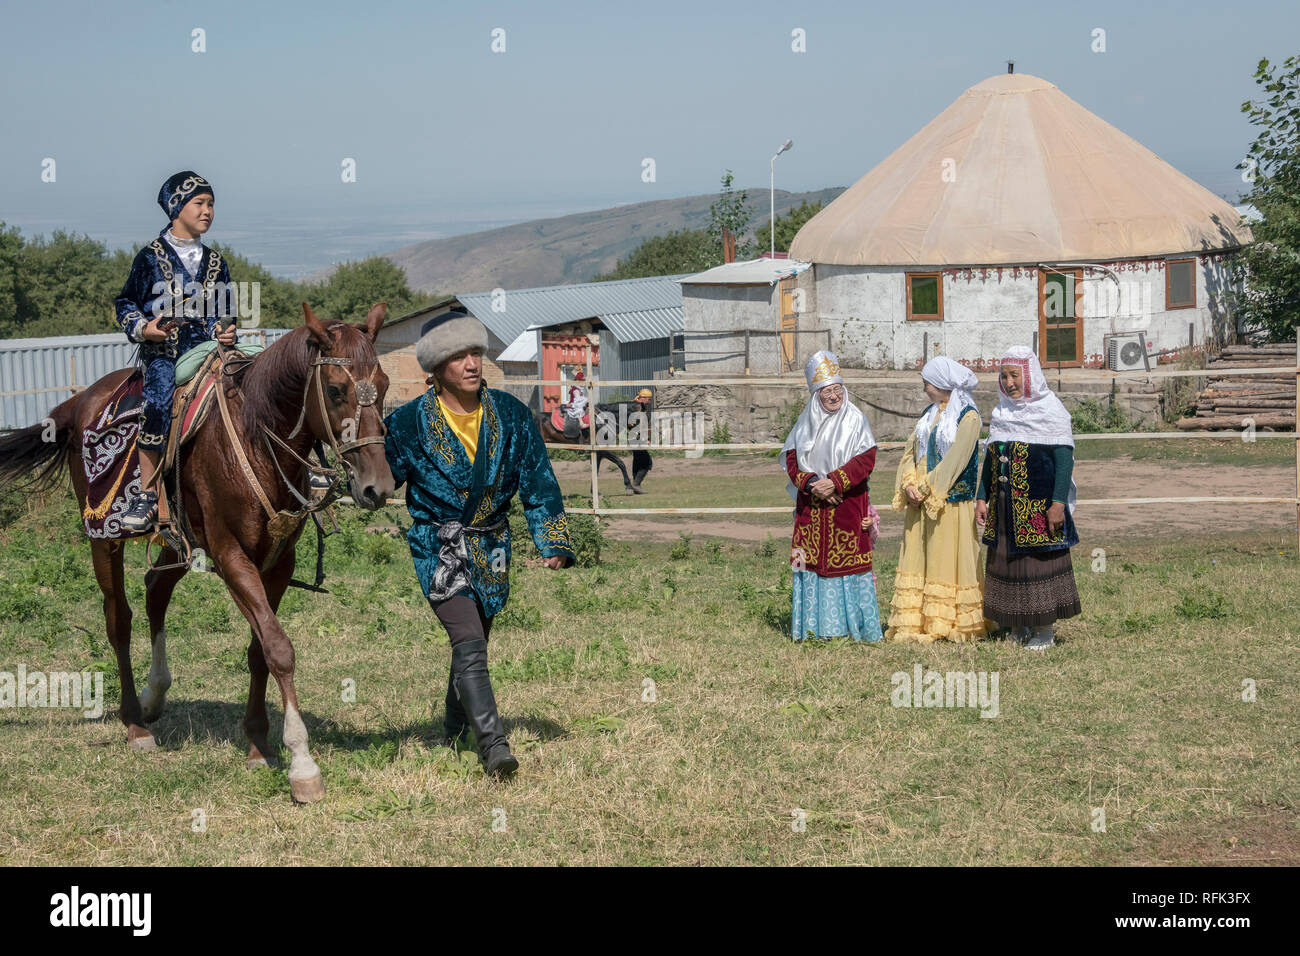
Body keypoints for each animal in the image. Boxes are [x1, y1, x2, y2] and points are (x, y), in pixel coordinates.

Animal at [0, 303, 390, 806]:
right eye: (337, 390)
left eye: (383, 385)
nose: (377, 488)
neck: (256, 437)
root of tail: (79, 402)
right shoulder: (231, 557)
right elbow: (279, 649)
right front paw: (302, 764)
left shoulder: (278, 563)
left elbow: (260, 650)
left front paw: (258, 744)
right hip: (103, 539)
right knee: (118, 618)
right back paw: (134, 722)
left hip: (177, 542)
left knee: (155, 591)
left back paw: (154, 695)